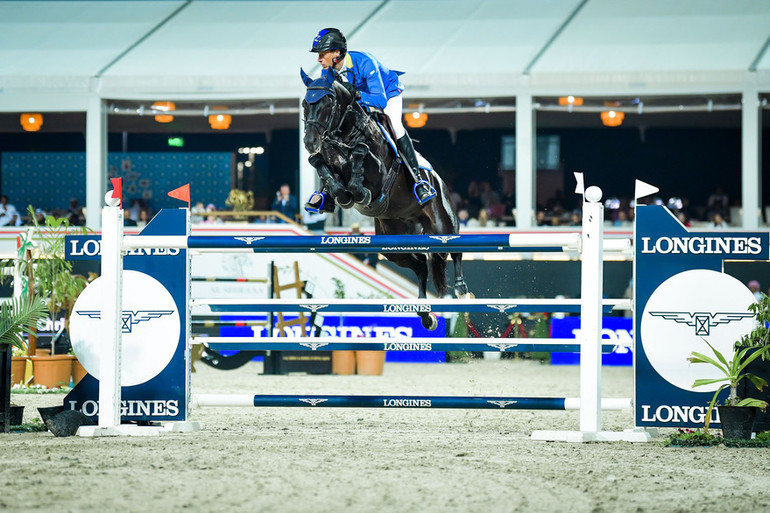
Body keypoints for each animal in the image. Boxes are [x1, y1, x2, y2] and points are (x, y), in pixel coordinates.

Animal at [300, 68, 468, 330]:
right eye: (304, 104)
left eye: (327, 102)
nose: (310, 142)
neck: (344, 134)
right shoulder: (327, 159)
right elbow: (319, 164)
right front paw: (338, 195)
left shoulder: (380, 171)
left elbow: (361, 154)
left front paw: (359, 191)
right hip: (393, 245)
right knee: (421, 264)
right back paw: (425, 315)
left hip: (443, 222)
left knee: (454, 249)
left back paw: (460, 288)